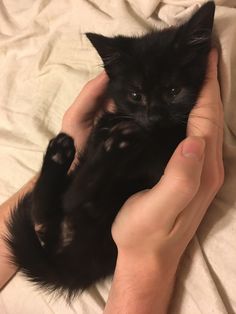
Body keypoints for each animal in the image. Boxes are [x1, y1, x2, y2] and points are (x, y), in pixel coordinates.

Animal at [5, 0, 216, 300]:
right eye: (135, 94)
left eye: (174, 91)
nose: (153, 116)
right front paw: (111, 132)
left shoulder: (163, 158)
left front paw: (121, 137)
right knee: (57, 203)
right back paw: (64, 151)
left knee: (71, 199)